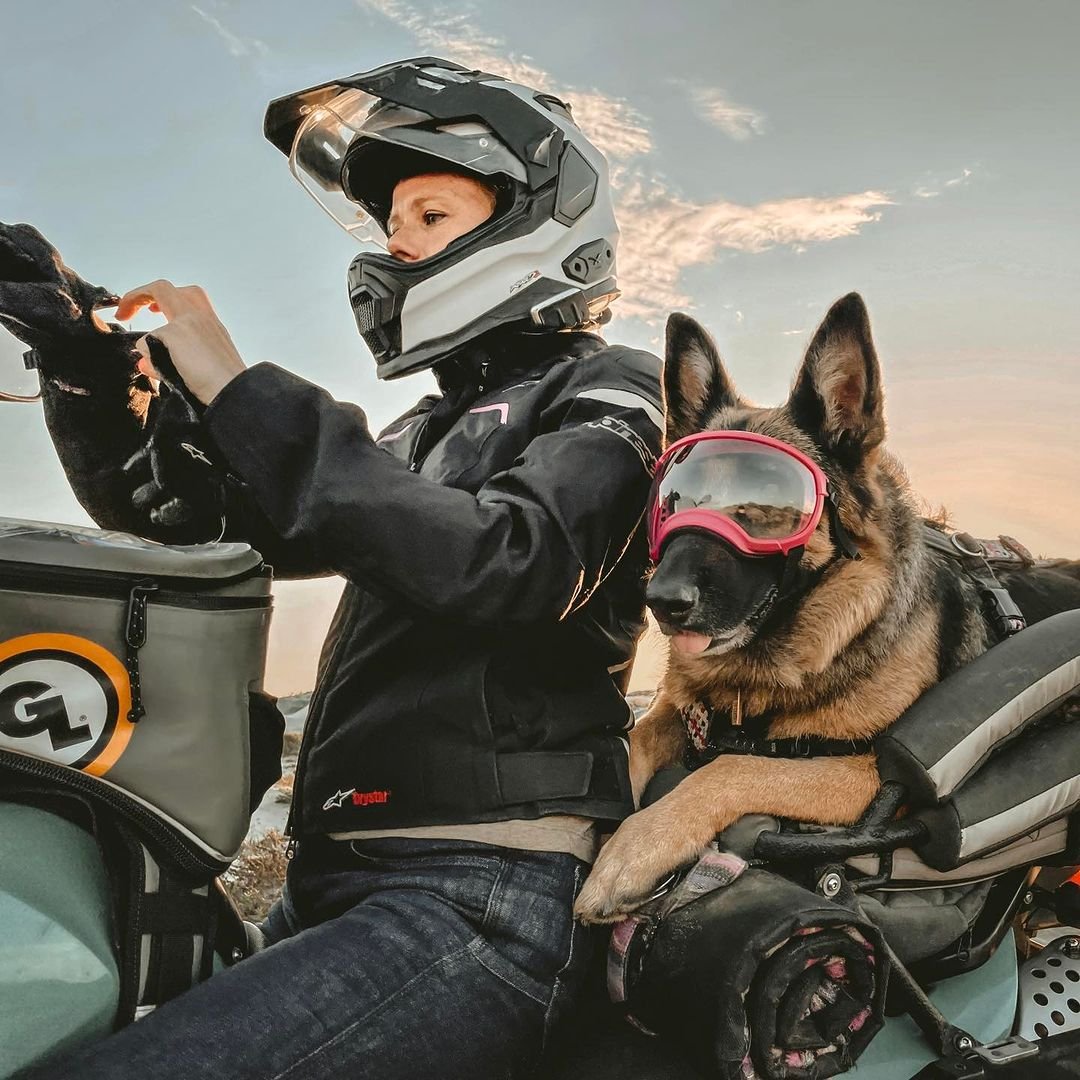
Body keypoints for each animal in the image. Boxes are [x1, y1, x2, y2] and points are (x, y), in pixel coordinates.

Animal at [574, 293, 1080, 920]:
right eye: (670, 499)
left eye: (766, 502)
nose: (662, 602)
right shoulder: (678, 711)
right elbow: (639, 741)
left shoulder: (869, 774)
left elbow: (734, 767)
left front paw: (633, 850)